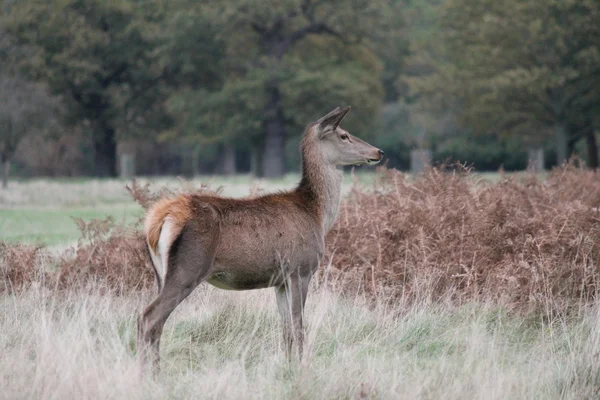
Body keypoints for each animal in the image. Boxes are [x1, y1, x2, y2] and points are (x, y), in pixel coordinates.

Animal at [137, 106, 382, 372]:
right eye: (344, 135)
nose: (378, 152)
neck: (317, 215)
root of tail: (159, 218)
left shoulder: (280, 280)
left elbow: (285, 329)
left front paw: (288, 367)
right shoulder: (300, 269)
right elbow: (299, 325)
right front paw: (303, 366)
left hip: (161, 273)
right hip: (188, 267)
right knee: (150, 316)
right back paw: (152, 372)